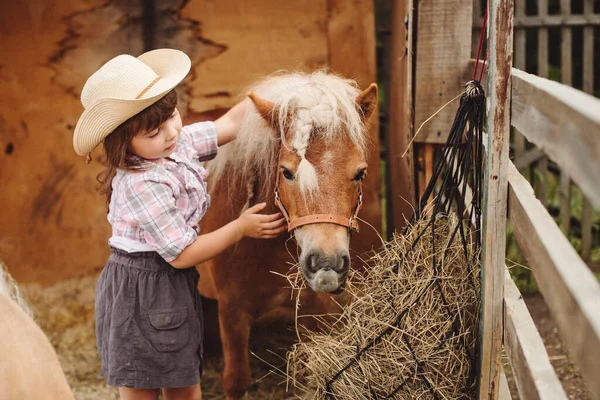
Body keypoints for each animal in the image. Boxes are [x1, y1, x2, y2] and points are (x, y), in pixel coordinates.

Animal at [197, 70, 376, 398]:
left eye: (360, 173)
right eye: (287, 172)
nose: (327, 265)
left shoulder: (313, 312)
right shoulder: (232, 312)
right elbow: (236, 381)